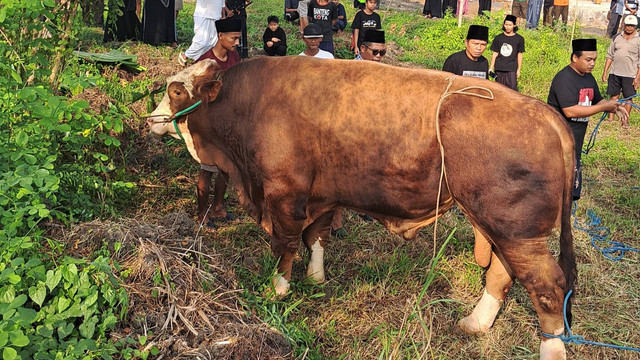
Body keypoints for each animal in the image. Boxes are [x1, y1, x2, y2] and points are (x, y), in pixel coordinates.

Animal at [148, 57, 576, 358]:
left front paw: (278, 288)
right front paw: (316, 277)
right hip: (501, 228)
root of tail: (545, 114)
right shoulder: (321, 195)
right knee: (503, 274)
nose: (152, 119)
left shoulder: (284, 194)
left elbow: (285, 244)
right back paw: (476, 322)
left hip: (517, 232)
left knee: (548, 285)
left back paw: (551, 347)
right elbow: (316, 237)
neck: (252, 103)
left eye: (177, 91)